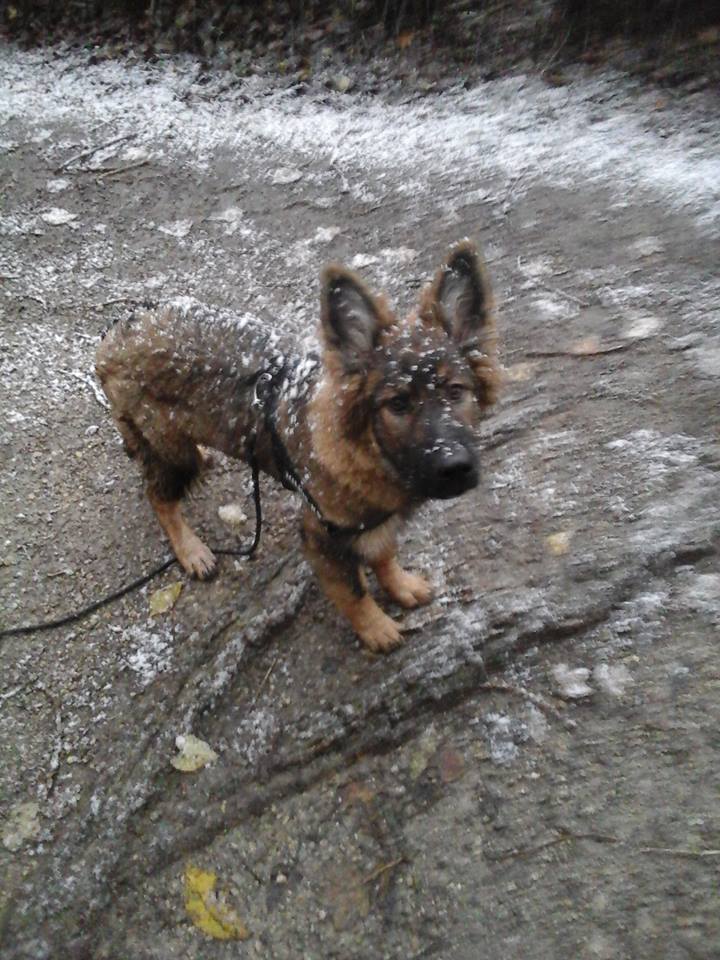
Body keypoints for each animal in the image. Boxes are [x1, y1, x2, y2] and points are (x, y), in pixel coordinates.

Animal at [95, 241, 499, 652]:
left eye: (456, 391)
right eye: (398, 404)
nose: (455, 467)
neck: (364, 450)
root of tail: (120, 327)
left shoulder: (375, 520)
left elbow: (384, 553)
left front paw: (401, 586)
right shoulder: (321, 534)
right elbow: (354, 591)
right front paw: (376, 628)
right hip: (172, 452)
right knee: (159, 498)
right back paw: (191, 551)